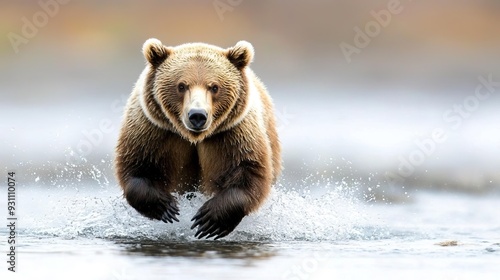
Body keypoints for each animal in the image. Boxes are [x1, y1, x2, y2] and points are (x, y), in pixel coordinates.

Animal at [114, 38, 284, 240]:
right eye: (181, 85)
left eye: (214, 87)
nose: (197, 115)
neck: (193, 137)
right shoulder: (153, 129)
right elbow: (137, 167)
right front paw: (165, 207)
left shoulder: (234, 133)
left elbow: (249, 170)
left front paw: (211, 219)